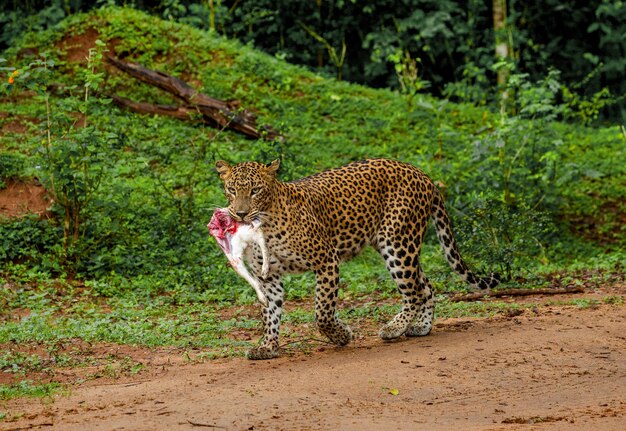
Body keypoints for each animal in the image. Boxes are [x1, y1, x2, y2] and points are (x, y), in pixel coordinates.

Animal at [214, 159, 498, 362]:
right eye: (232, 190)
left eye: (255, 190)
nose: (240, 213)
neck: (264, 224)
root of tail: (421, 173)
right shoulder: (269, 276)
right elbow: (270, 313)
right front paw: (268, 346)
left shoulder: (326, 259)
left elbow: (323, 312)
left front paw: (342, 335)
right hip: (403, 245)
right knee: (426, 285)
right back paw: (421, 326)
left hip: (397, 242)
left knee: (414, 291)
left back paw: (394, 328)